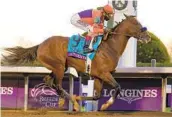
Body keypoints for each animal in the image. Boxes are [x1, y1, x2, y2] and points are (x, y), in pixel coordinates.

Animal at [2, 15, 150, 110]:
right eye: (137, 24)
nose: (148, 37)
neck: (110, 47)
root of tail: (41, 45)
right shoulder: (104, 73)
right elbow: (118, 87)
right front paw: (105, 105)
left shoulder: (98, 76)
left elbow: (96, 96)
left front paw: (85, 100)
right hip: (59, 66)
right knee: (58, 85)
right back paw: (72, 102)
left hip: (58, 67)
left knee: (49, 81)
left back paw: (67, 100)